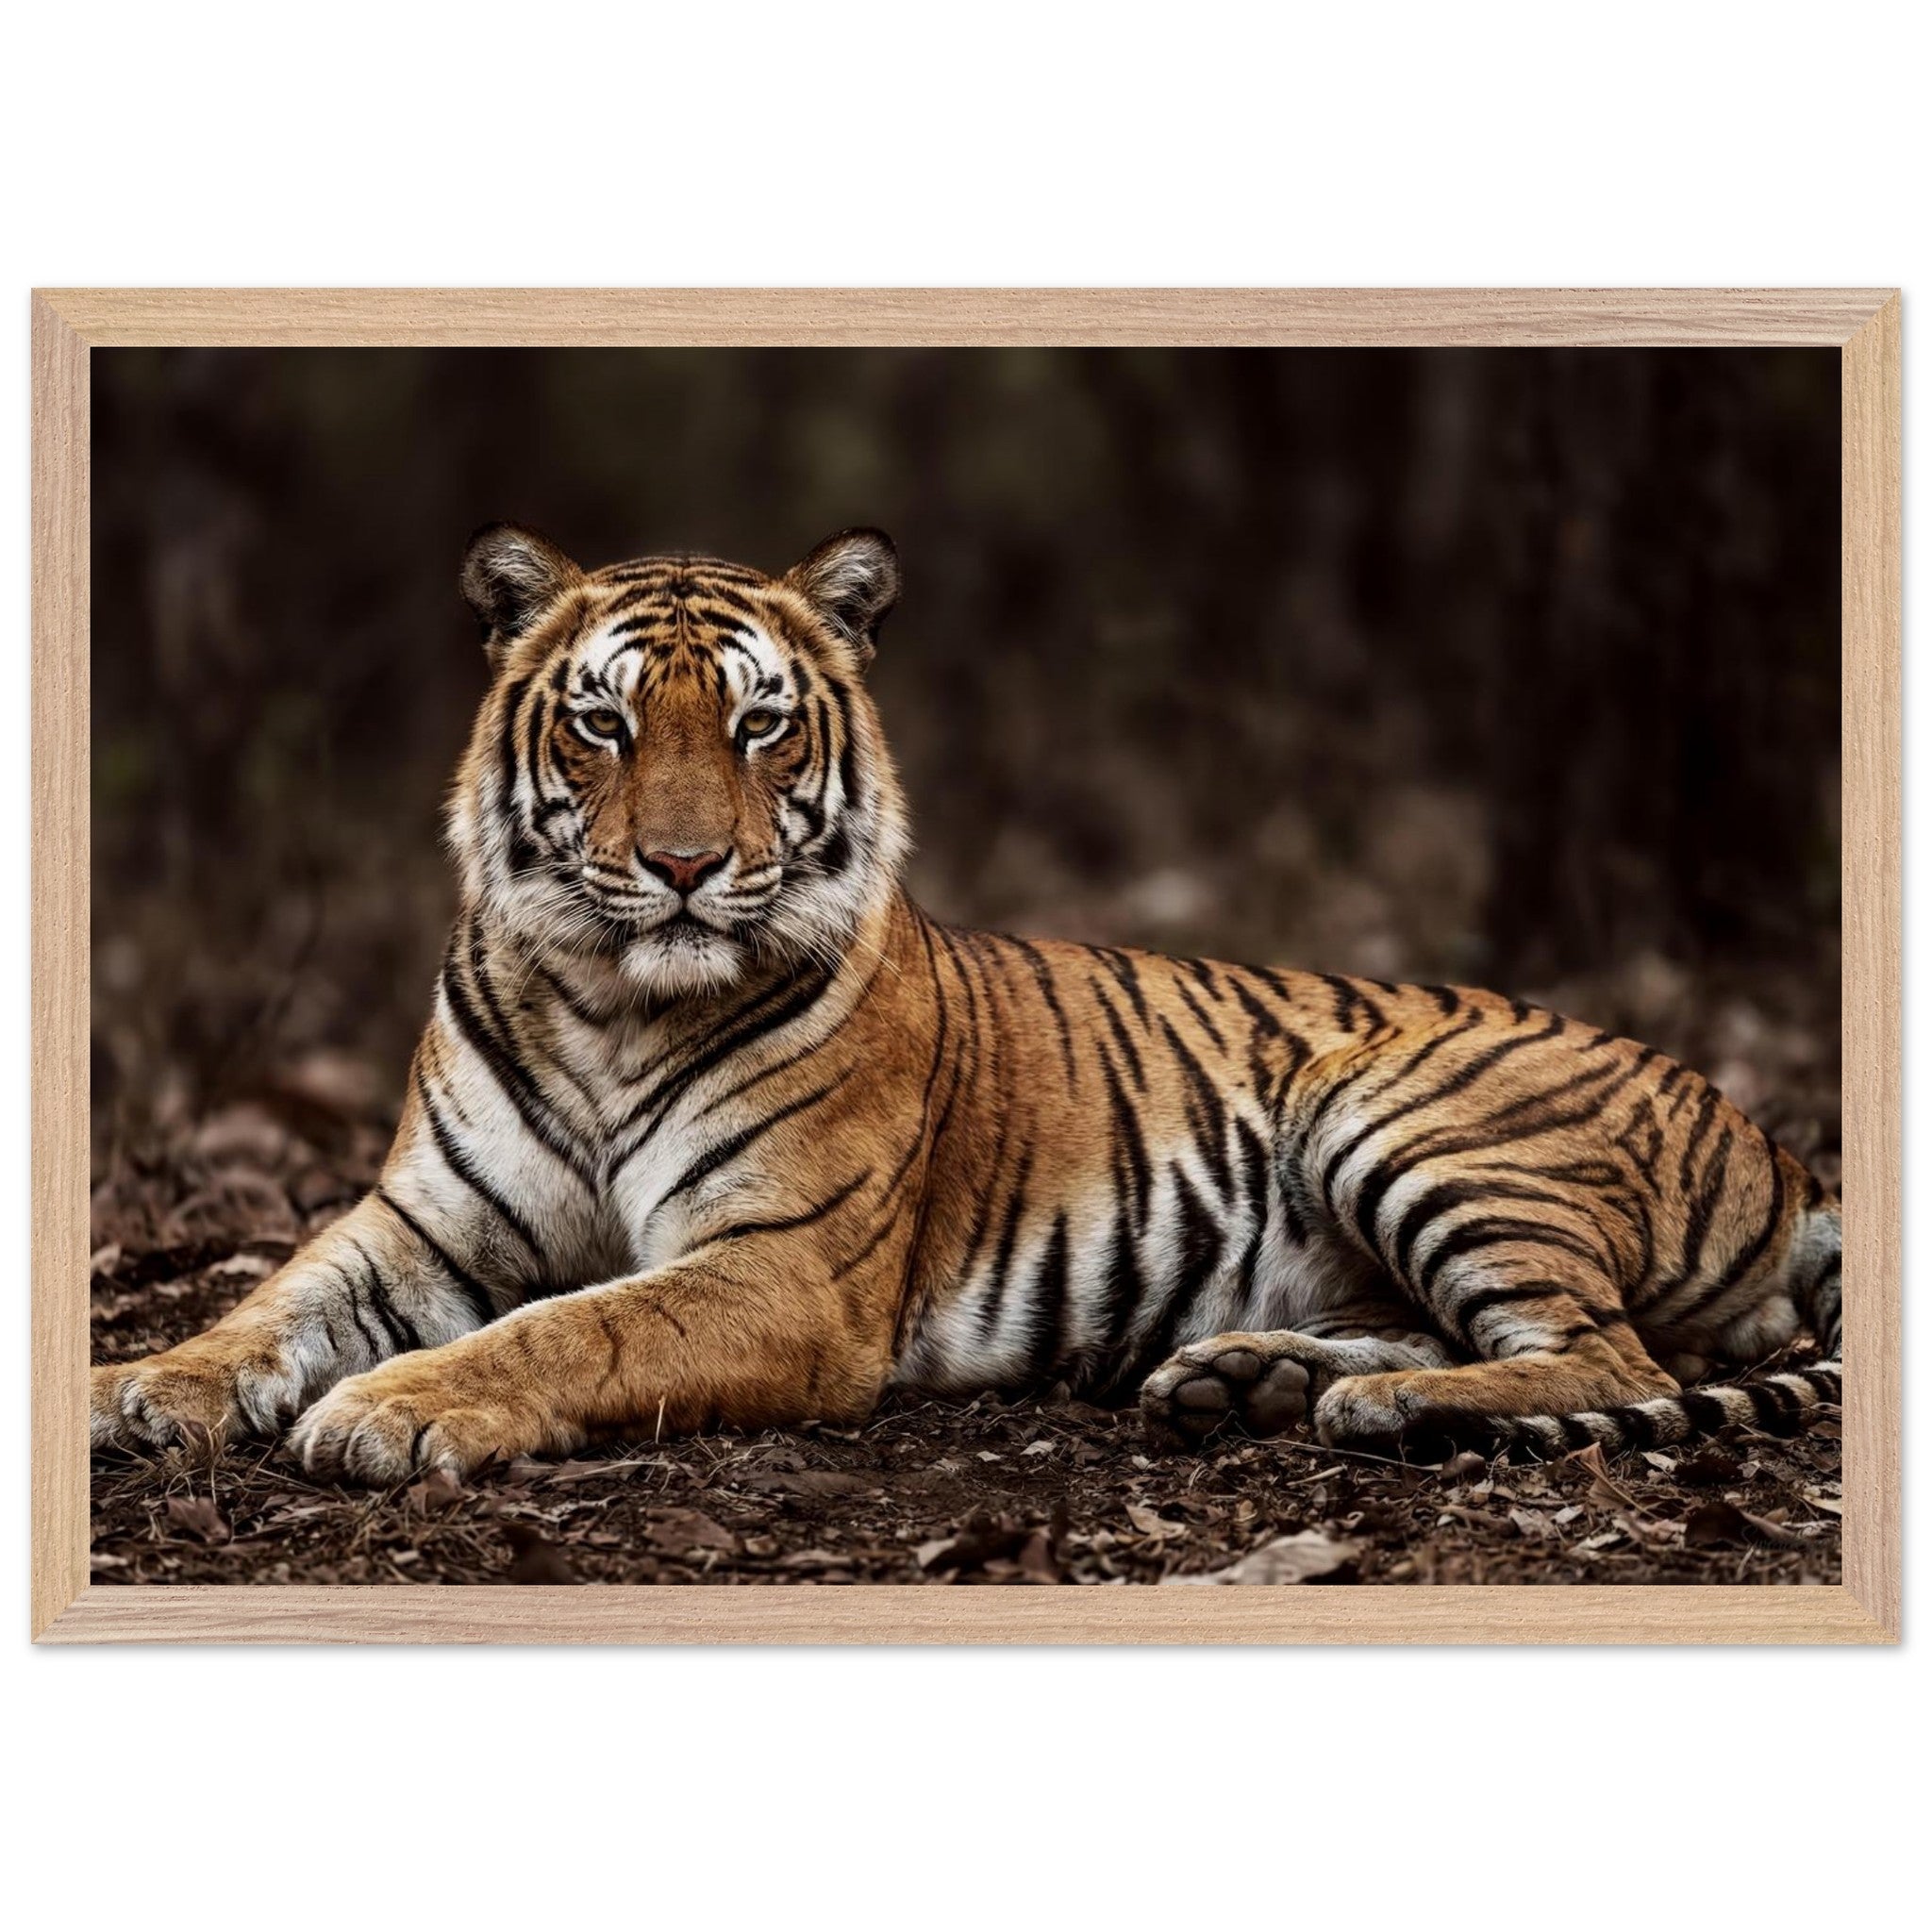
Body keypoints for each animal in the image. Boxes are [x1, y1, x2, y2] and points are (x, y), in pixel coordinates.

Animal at [89, 525, 1843, 1483]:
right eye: (602, 724)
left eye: (758, 727)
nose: (680, 866)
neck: (604, 1001)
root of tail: (1773, 1136)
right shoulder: (422, 1223)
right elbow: (269, 1304)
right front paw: (135, 1390)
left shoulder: (777, 1268)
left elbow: (571, 1327)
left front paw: (389, 1409)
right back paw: (1258, 1379)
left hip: (1403, 1107)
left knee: (1612, 1361)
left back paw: (1384, 1406)